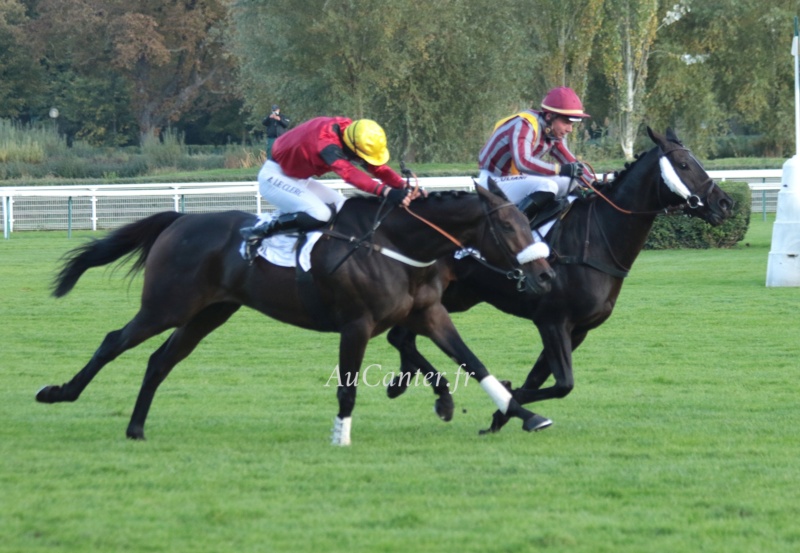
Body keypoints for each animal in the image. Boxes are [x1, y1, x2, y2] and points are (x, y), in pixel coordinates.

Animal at [32, 181, 556, 444]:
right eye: (510, 226)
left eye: (528, 220)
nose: (548, 275)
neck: (397, 245)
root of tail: (179, 220)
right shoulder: (356, 324)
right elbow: (348, 386)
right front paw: (341, 437)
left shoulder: (429, 314)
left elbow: (474, 363)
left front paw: (526, 415)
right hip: (167, 305)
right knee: (113, 342)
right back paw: (58, 392)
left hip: (208, 314)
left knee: (159, 361)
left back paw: (136, 428)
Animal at [384, 127, 736, 434]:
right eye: (684, 164)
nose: (724, 203)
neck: (597, 238)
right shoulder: (553, 321)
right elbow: (563, 383)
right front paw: (509, 404)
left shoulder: (577, 329)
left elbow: (541, 380)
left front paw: (502, 414)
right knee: (401, 336)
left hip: (455, 296)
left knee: (402, 336)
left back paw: (402, 383)